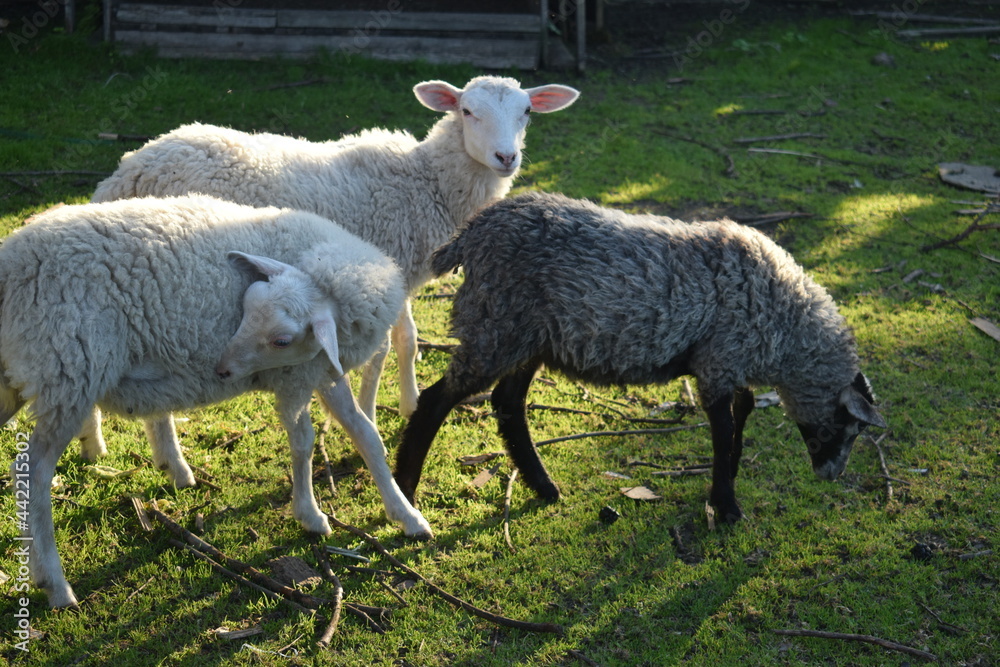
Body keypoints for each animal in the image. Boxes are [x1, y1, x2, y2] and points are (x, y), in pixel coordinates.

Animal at [2, 195, 431, 609]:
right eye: (246, 305)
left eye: (281, 339)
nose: (222, 368)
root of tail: (11, 263)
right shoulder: (294, 377)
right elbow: (304, 443)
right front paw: (309, 514)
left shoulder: (321, 369)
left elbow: (365, 433)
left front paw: (407, 516)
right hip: (69, 371)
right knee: (32, 471)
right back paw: (56, 584)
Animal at [90, 75, 580, 429]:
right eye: (467, 111)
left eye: (527, 112)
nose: (506, 157)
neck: (424, 180)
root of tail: (130, 169)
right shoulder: (381, 261)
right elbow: (383, 350)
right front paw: (370, 409)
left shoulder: (398, 269)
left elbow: (407, 339)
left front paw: (408, 403)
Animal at [394, 191, 886, 522]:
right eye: (848, 426)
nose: (830, 474)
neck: (783, 325)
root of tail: (470, 235)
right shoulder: (719, 362)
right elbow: (724, 428)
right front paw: (726, 505)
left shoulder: (726, 362)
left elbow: (741, 412)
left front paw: (726, 482)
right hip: (494, 324)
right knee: (437, 400)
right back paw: (407, 491)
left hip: (528, 336)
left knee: (508, 403)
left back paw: (544, 487)